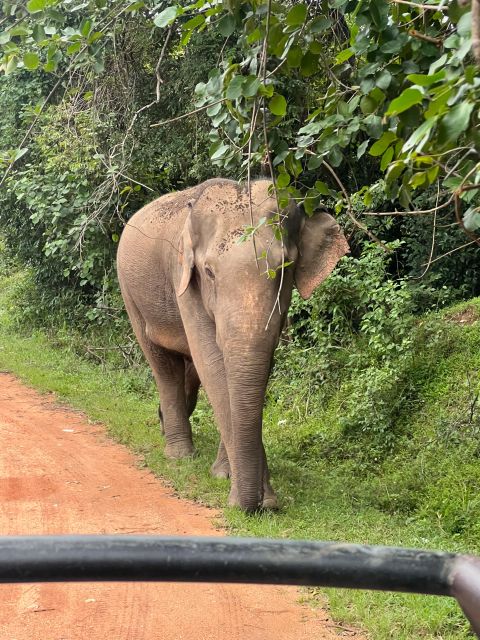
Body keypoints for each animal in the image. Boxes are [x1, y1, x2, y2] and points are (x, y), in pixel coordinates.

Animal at [116, 178, 348, 512]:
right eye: (209, 272)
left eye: (285, 267)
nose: (262, 505)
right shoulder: (184, 280)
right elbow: (213, 364)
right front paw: (245, 493)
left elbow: (254, 363)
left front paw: (232, 480)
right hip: (130, 294)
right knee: (164, 366)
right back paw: (179, 454)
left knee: (189, 372)